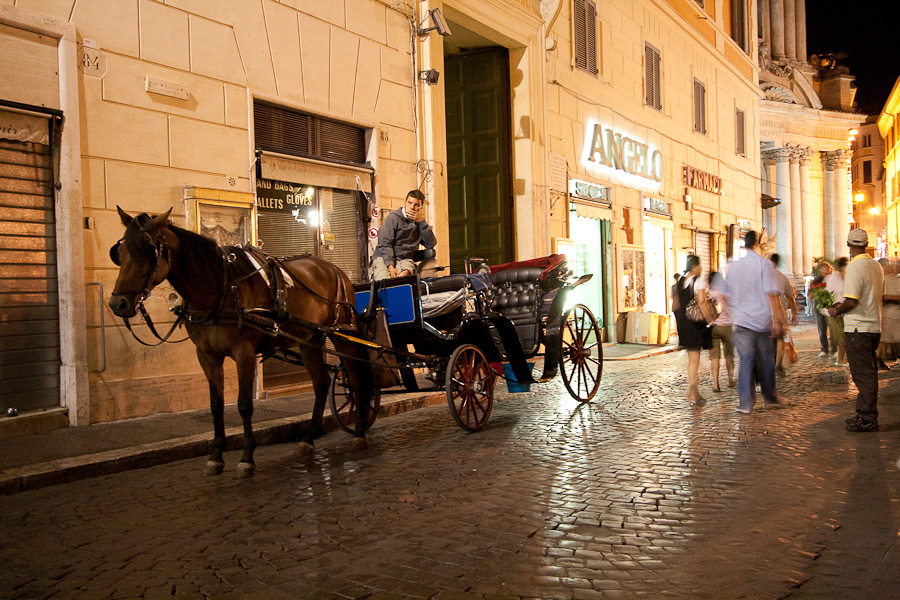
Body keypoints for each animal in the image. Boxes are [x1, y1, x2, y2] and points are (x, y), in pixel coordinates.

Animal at [109, 206, 372, 478]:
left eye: (148, 250)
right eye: (120, 253)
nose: (117, 304)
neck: (220, 289)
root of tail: (334, 269)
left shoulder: (243, 352)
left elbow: (244, 404)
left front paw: (246, 458)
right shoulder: (206, 355)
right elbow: (216, 404)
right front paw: (215, 456)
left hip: (342, 333)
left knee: (356, 377)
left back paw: (359, 433)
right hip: (309, 339)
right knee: (321, 384)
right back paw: (308, 439)